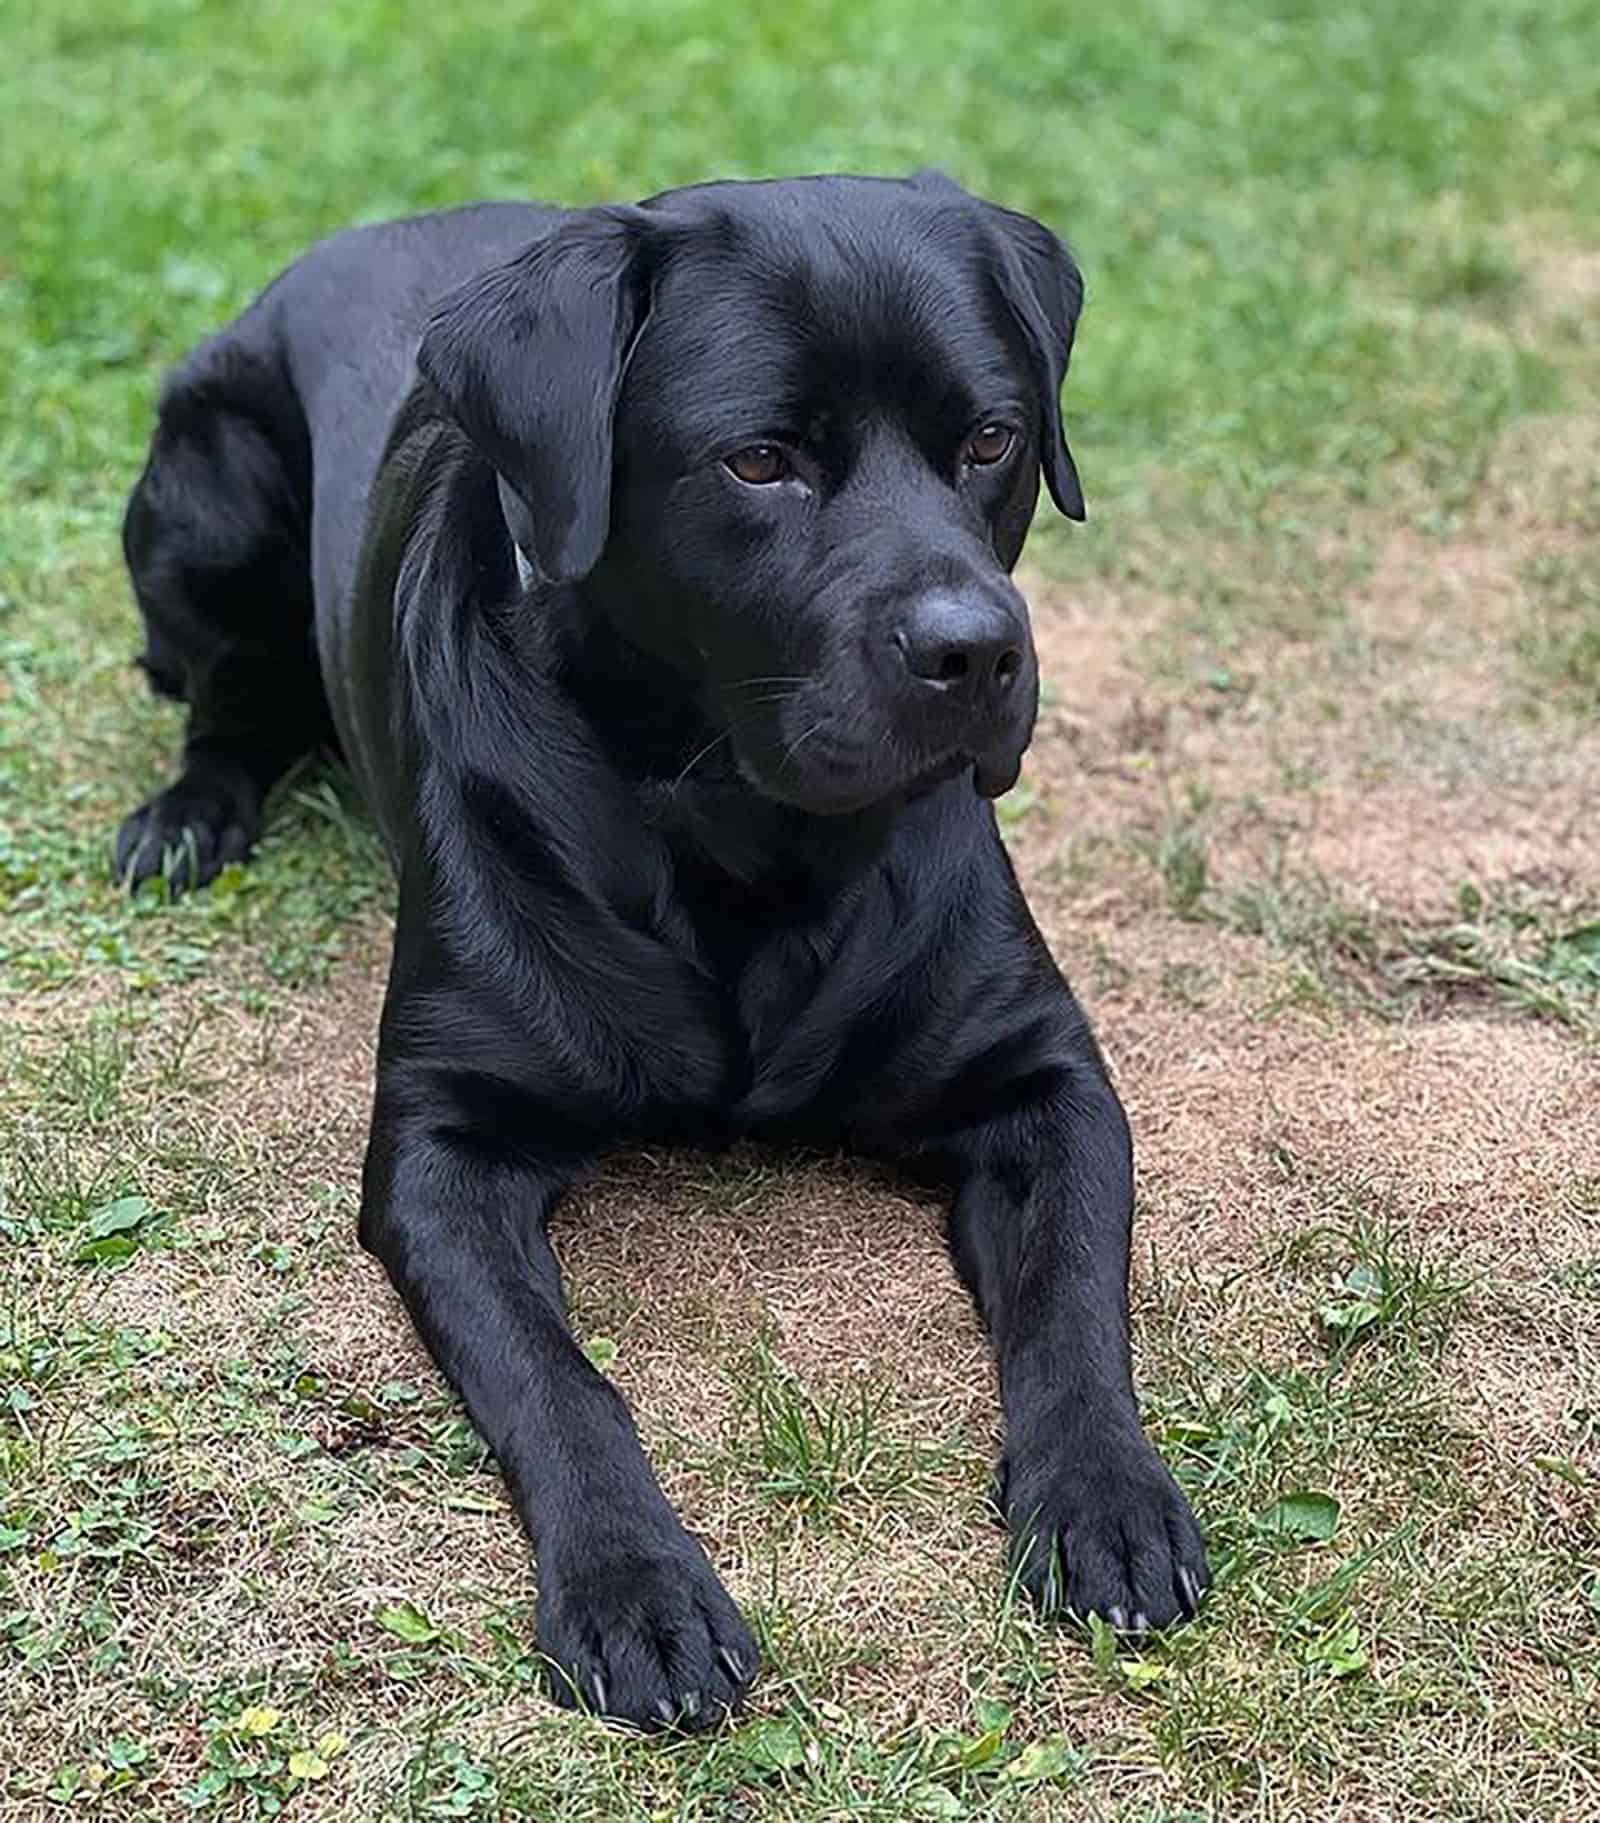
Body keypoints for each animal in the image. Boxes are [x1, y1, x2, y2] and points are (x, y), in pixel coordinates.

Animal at [115, 177, 1217, 1728]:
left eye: (991, 441)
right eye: (759, 462)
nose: (976, 651)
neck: (735, 832)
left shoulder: (1045, 1078)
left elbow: (1072, 1301)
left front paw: (1106, 1494)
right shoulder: (441, 1145)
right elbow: (560, 1379)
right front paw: (636, 1587)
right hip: (210, 494)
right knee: (228, 698)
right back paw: (185, 818)